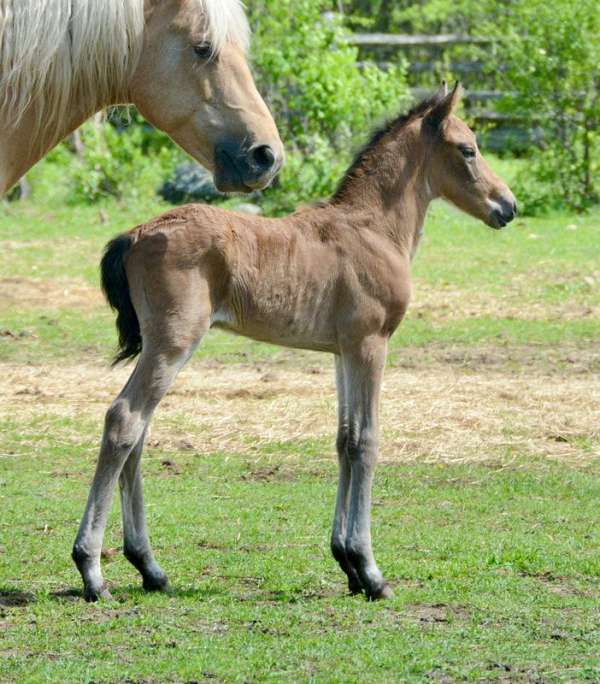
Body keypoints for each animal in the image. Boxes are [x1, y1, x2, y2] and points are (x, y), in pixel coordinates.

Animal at [73, 84, 517, 602]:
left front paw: (346, 562)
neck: (374, 229)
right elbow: (367, 440)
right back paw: (92, 571)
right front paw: (370, 571)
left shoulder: (343, 350)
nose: (507, 206)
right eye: (468, 149)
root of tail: (135, 234)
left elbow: (344, 439)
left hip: (158, 346)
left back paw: (150, 568)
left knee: (138, 432)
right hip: (173, 342)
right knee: (124, 420)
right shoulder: (371, 343)